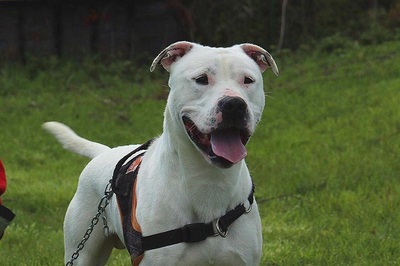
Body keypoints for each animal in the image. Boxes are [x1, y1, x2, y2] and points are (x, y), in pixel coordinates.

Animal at [42, 41, 276, 266]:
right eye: (201, 79)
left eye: (248, 80)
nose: (234, 104)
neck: (209, 180)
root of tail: (105, 153)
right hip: (82, 250)